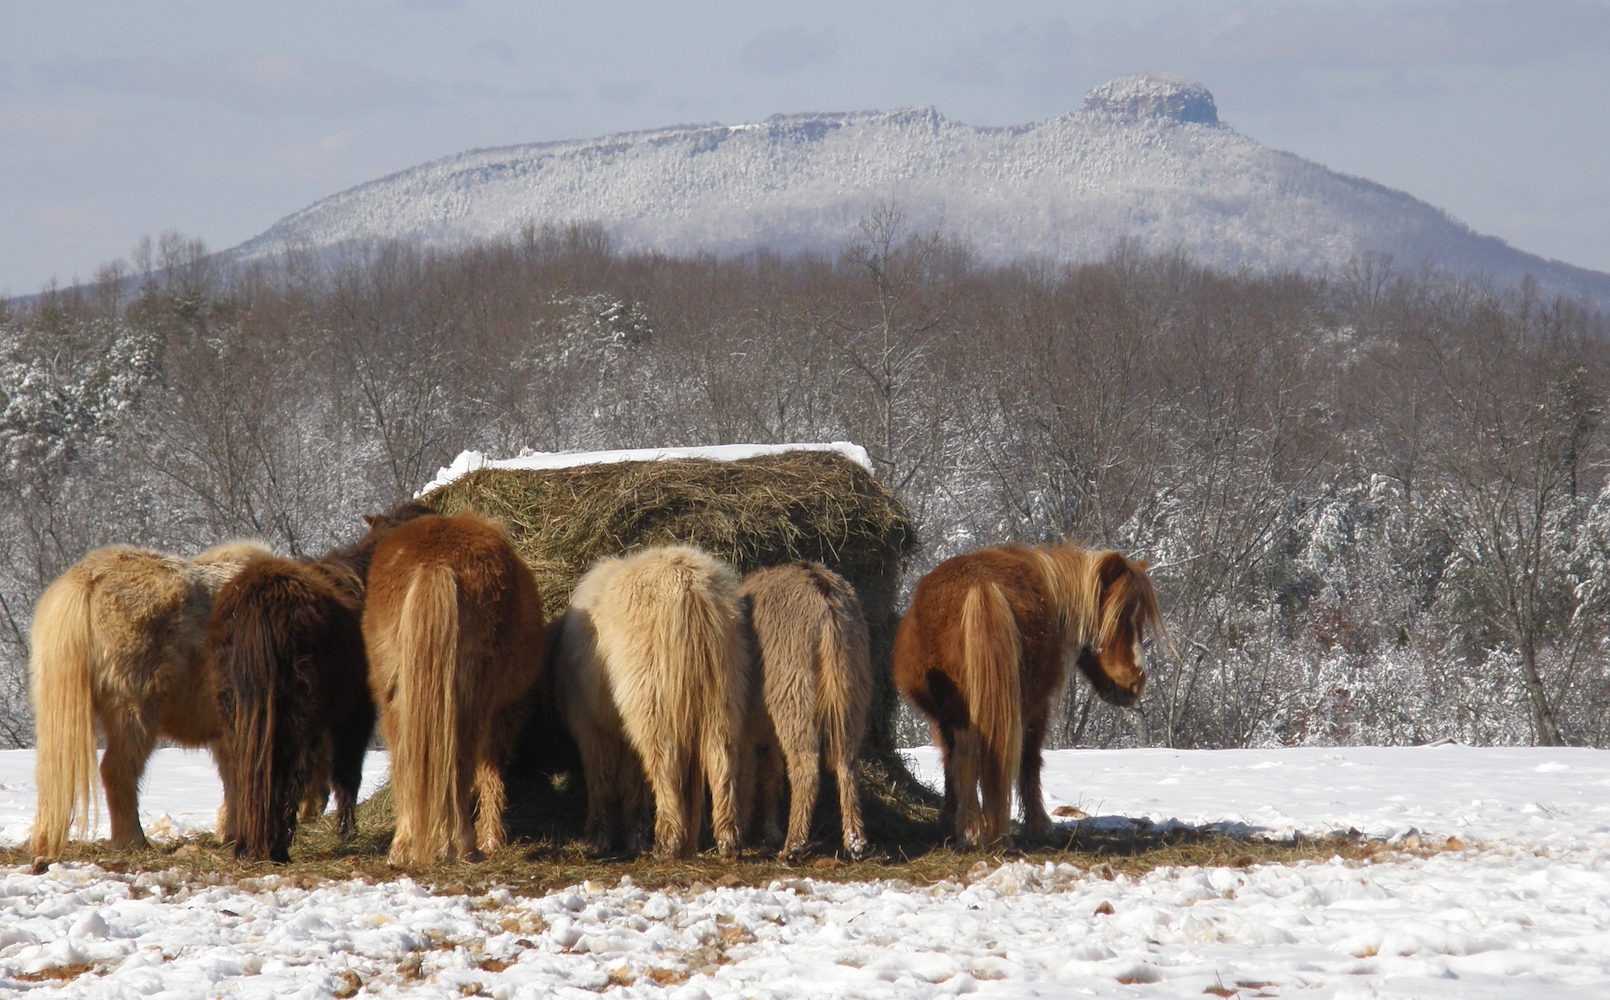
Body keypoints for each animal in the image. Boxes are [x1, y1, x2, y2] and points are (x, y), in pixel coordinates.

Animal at [29, 534, 273, 856]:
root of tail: (87, 580)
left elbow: (233, 775)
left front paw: (233, 830)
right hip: (134, 705)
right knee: (117, 769)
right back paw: (132, 839)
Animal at [362, 512, 544, 863]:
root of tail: (435, 563)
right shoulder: (505, 710)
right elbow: (491, 771)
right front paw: (492, 838)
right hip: (470, 702)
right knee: (460, 763)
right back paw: (461, 845)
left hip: (397, 700)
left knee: (405, 762)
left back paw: (403, 847)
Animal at [553, 541, 747, 863]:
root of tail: (691, 588)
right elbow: (634, 780)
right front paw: (634, 835)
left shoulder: (591, 725)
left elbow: (601, 777)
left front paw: (598, 838)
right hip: (723, 690)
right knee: (721, 755)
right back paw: (727, 841)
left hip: (651, 693)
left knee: (664, 761)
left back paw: (668, 842)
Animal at [737, 560, 869, 856]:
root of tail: (824, 595)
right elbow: (771, 775)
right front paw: (769, 829)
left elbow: (749, 775)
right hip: (852, 690)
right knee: (848, 762)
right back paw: (855, 842)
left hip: (793, 691)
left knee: (806, 766)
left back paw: (793, 845)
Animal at [895, 541, 1159, 843]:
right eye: (1119, 616)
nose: (1136, 683)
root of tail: (981, 587)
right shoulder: (1038, 707)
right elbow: (1030, 761)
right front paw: (1038, 825)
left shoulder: (940, 717)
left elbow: (949, 762)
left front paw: (948, 817)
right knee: (979, 754)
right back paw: (976, 829)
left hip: (958, 707)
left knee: (963, 754)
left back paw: (969, 827)